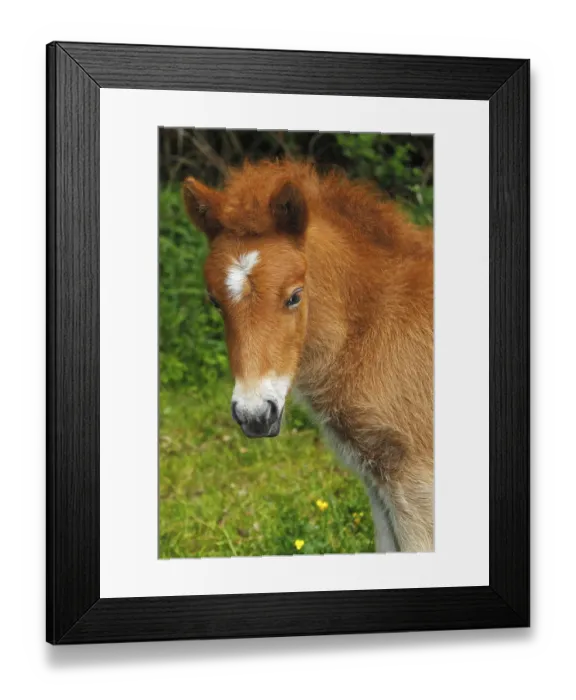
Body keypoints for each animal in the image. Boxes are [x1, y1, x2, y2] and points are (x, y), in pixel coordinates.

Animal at [181, 159, 434, 553]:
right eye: (215, 301)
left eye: (295, 296)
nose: (255, 416)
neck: (376, 324)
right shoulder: (377, 481)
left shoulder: (416, 478)